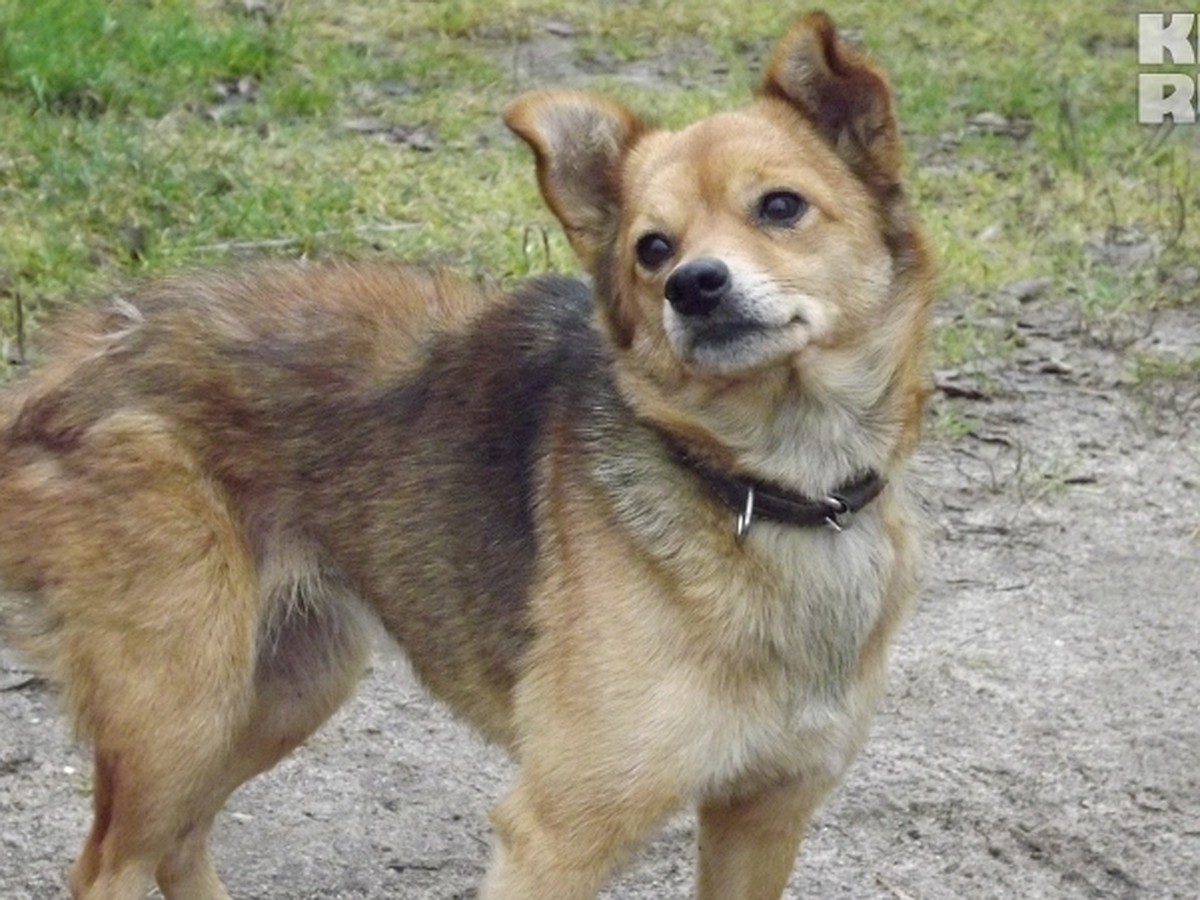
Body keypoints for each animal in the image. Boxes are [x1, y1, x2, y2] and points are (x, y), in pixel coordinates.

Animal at [0, 12, 931, 900]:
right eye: (651, 248)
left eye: (781, 207)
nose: (693, 287)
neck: (769, 486)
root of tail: (68, 364)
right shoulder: (557, 835)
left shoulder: (764, 814)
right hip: (180, 706)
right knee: (110, 868)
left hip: (285, 685)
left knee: (180, 844)